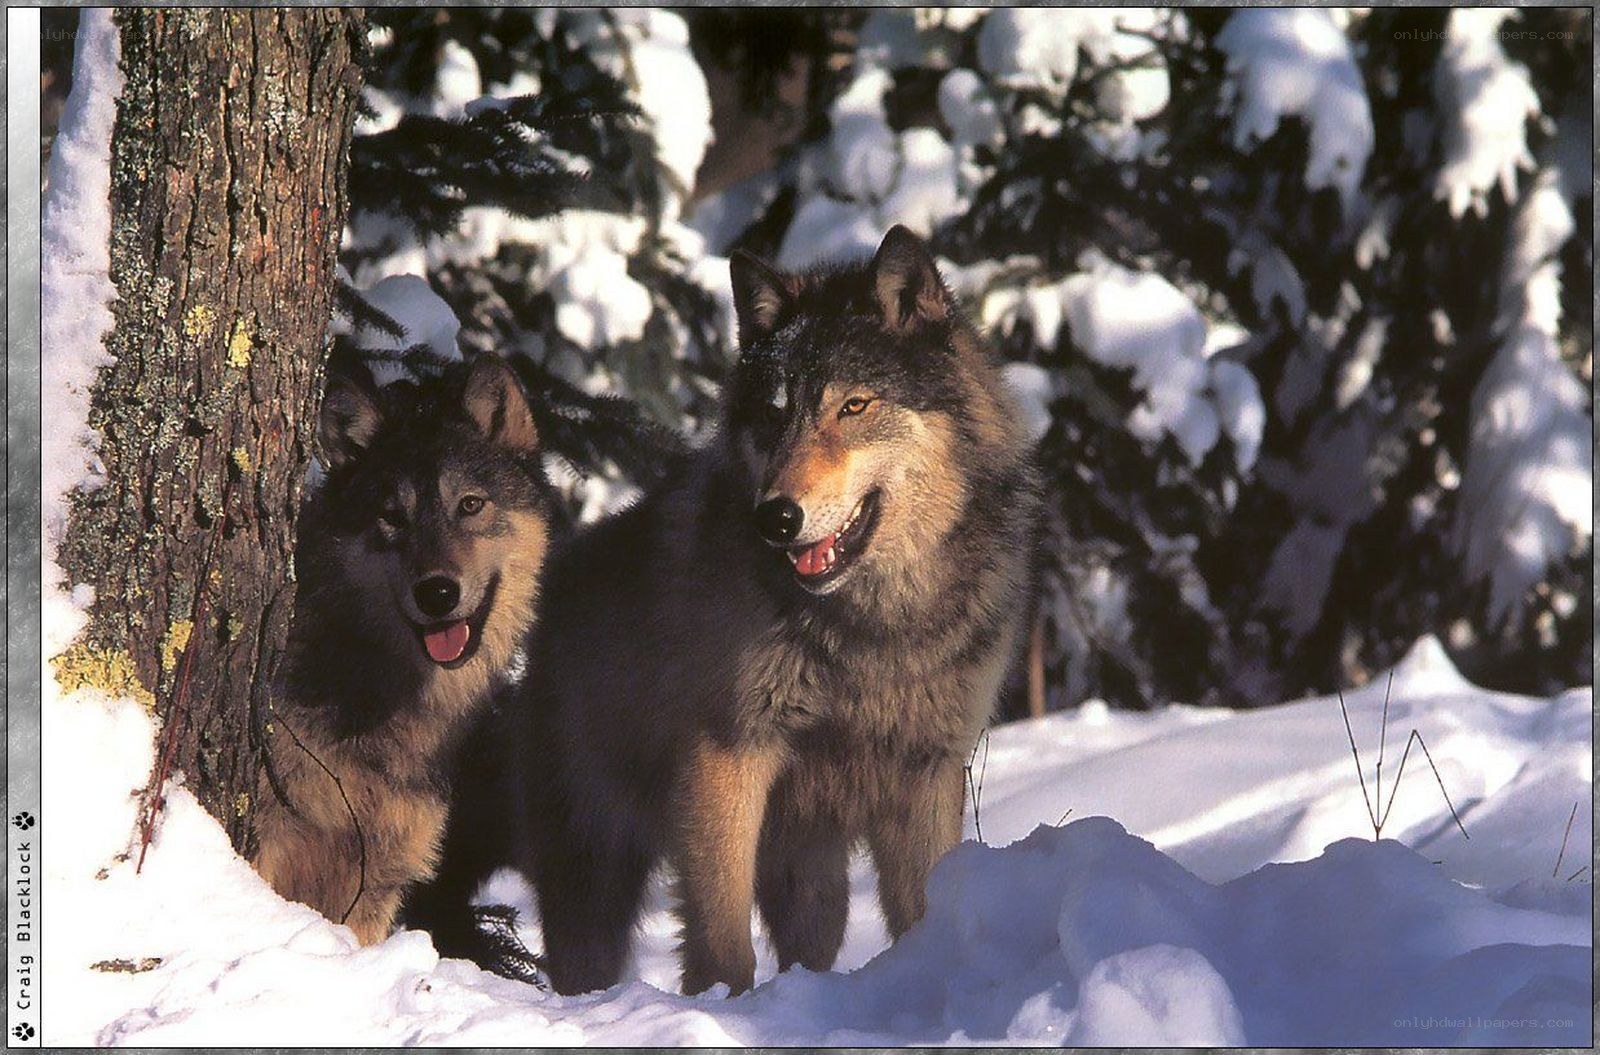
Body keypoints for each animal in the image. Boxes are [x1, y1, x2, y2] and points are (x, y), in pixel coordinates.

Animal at [501, 225, 1041, 995]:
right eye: (775, 413)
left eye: (853, 407)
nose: (777, 518)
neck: (871, 627)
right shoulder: (727, 757)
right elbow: (722, 935)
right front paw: (721, 1004)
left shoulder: (927, 775)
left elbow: (923, 908)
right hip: (594, 875)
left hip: (813, 878)